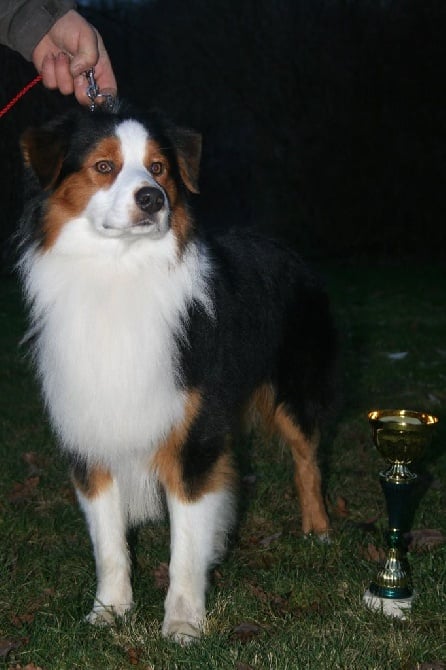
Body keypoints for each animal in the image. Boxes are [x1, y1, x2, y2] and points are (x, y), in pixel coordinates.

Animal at [18, 106, 338, 644]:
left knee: (307, 460)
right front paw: (110, 610)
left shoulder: (194, 439)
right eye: (104, 166)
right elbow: (108, 541)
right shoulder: (90, 430)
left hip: (296, 388)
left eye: (159, 168)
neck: (119, 273)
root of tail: (281, 247)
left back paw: (318, 530)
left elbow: (186, 544)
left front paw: (184, 622)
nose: (152, 197)